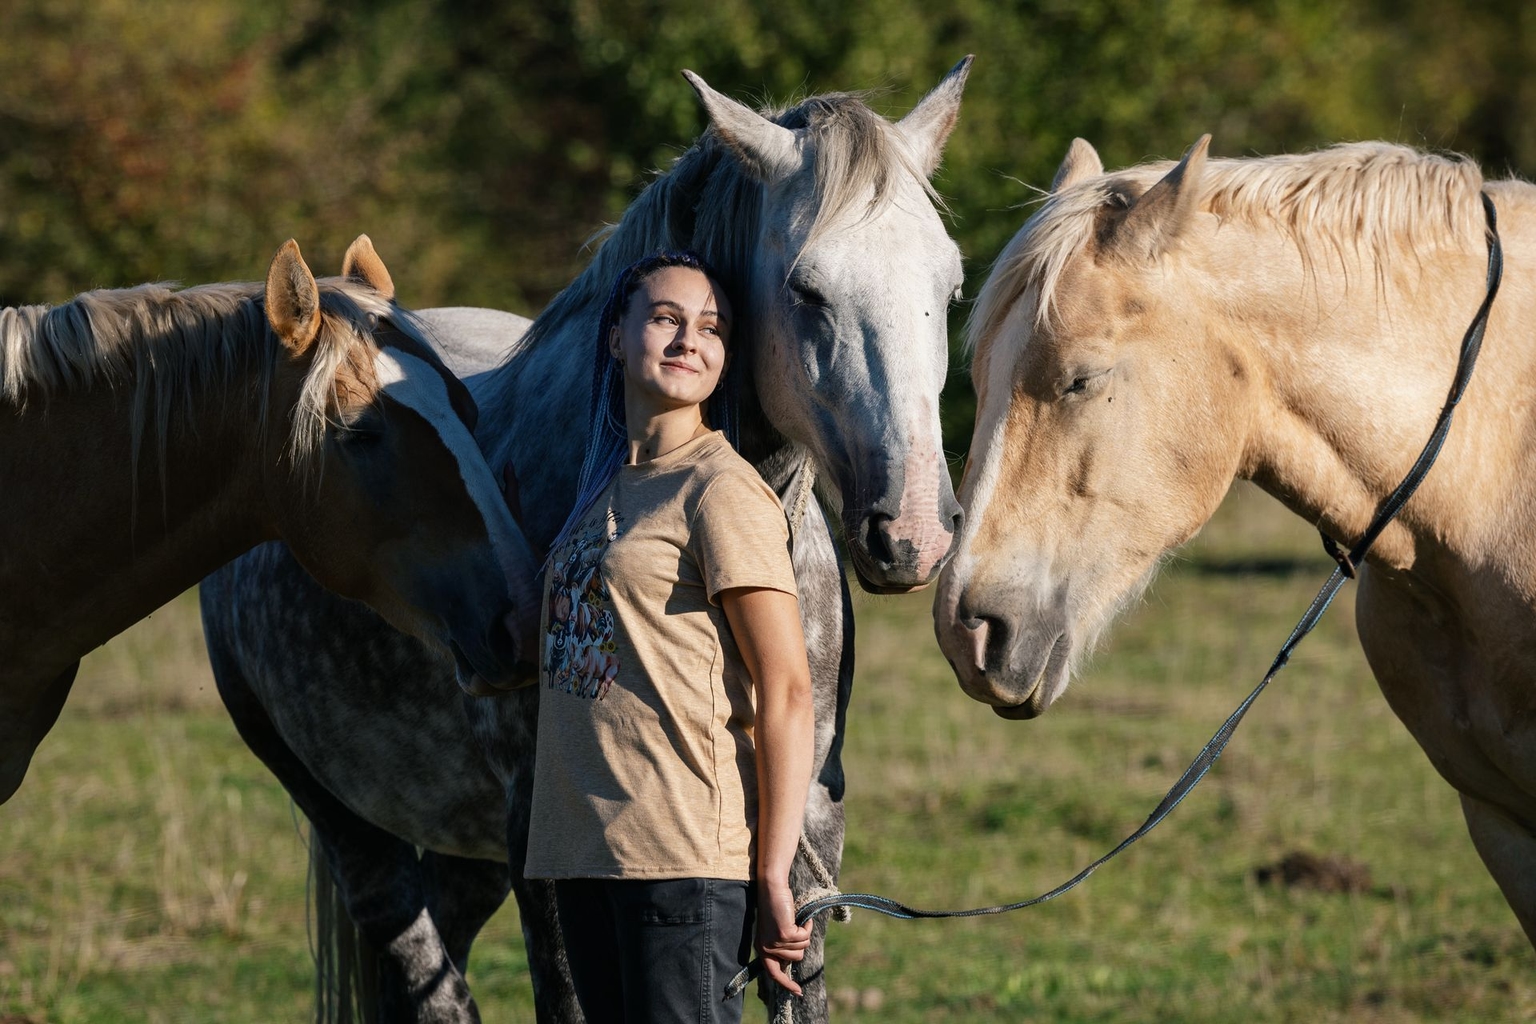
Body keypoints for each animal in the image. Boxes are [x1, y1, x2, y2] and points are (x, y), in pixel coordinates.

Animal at [198, 61, 973, 1023]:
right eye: (806, 290)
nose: (913, 532)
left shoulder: (804, 844)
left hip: (463, 848)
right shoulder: (550, 837)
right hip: (349, 823)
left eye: (950, 289)